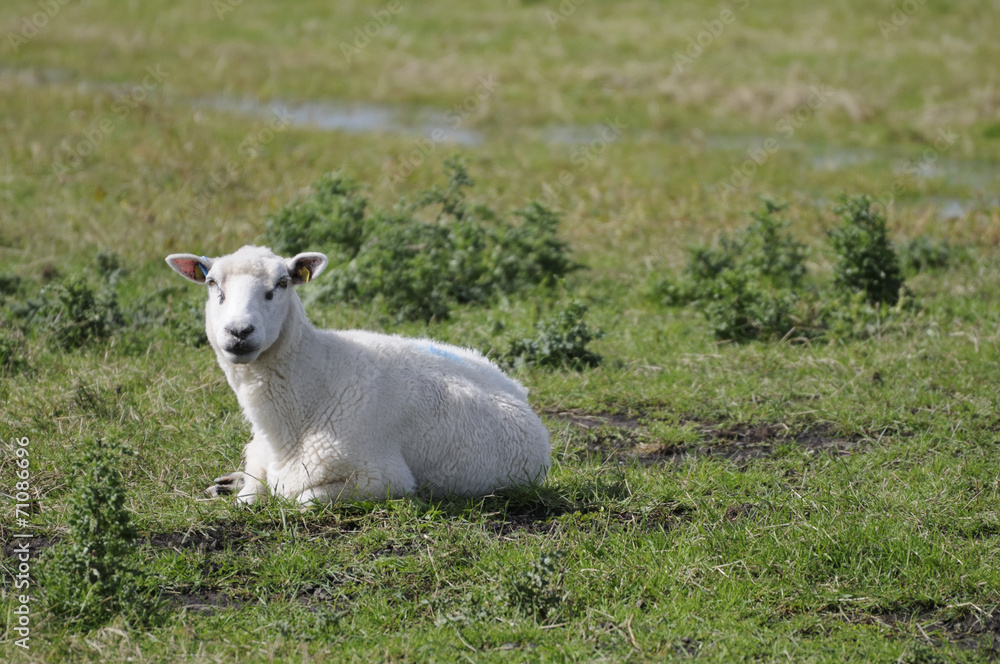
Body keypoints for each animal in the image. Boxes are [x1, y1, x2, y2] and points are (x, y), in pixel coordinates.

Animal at [165, 245, 551, 505]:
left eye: (282, 283)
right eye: (212, 283)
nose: (239, 332)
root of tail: (515, 387)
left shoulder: (383, 478)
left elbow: (302, 499)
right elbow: (249, 495)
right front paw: (233, 486)